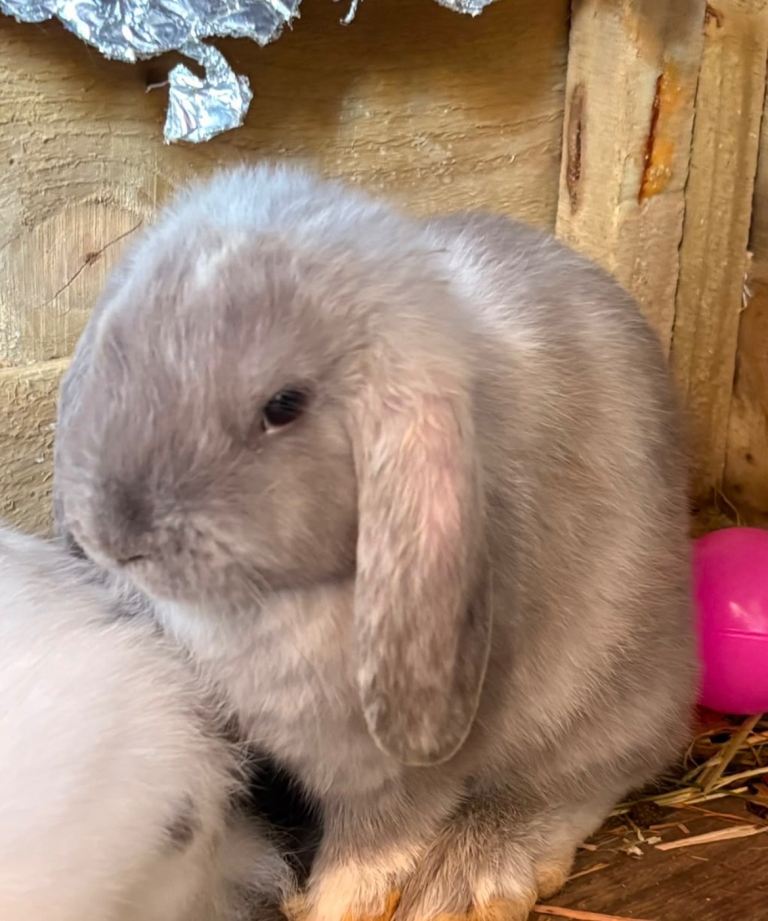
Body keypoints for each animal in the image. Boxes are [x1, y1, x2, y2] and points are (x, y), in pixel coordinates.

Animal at [53, 164, 697, 921]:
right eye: (119, 348)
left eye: (284, 406)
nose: (116, 535)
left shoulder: (392, 757)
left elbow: (385, 825)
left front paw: (337, 898)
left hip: (599, 700)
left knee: (584, 777)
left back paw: (467, 878)